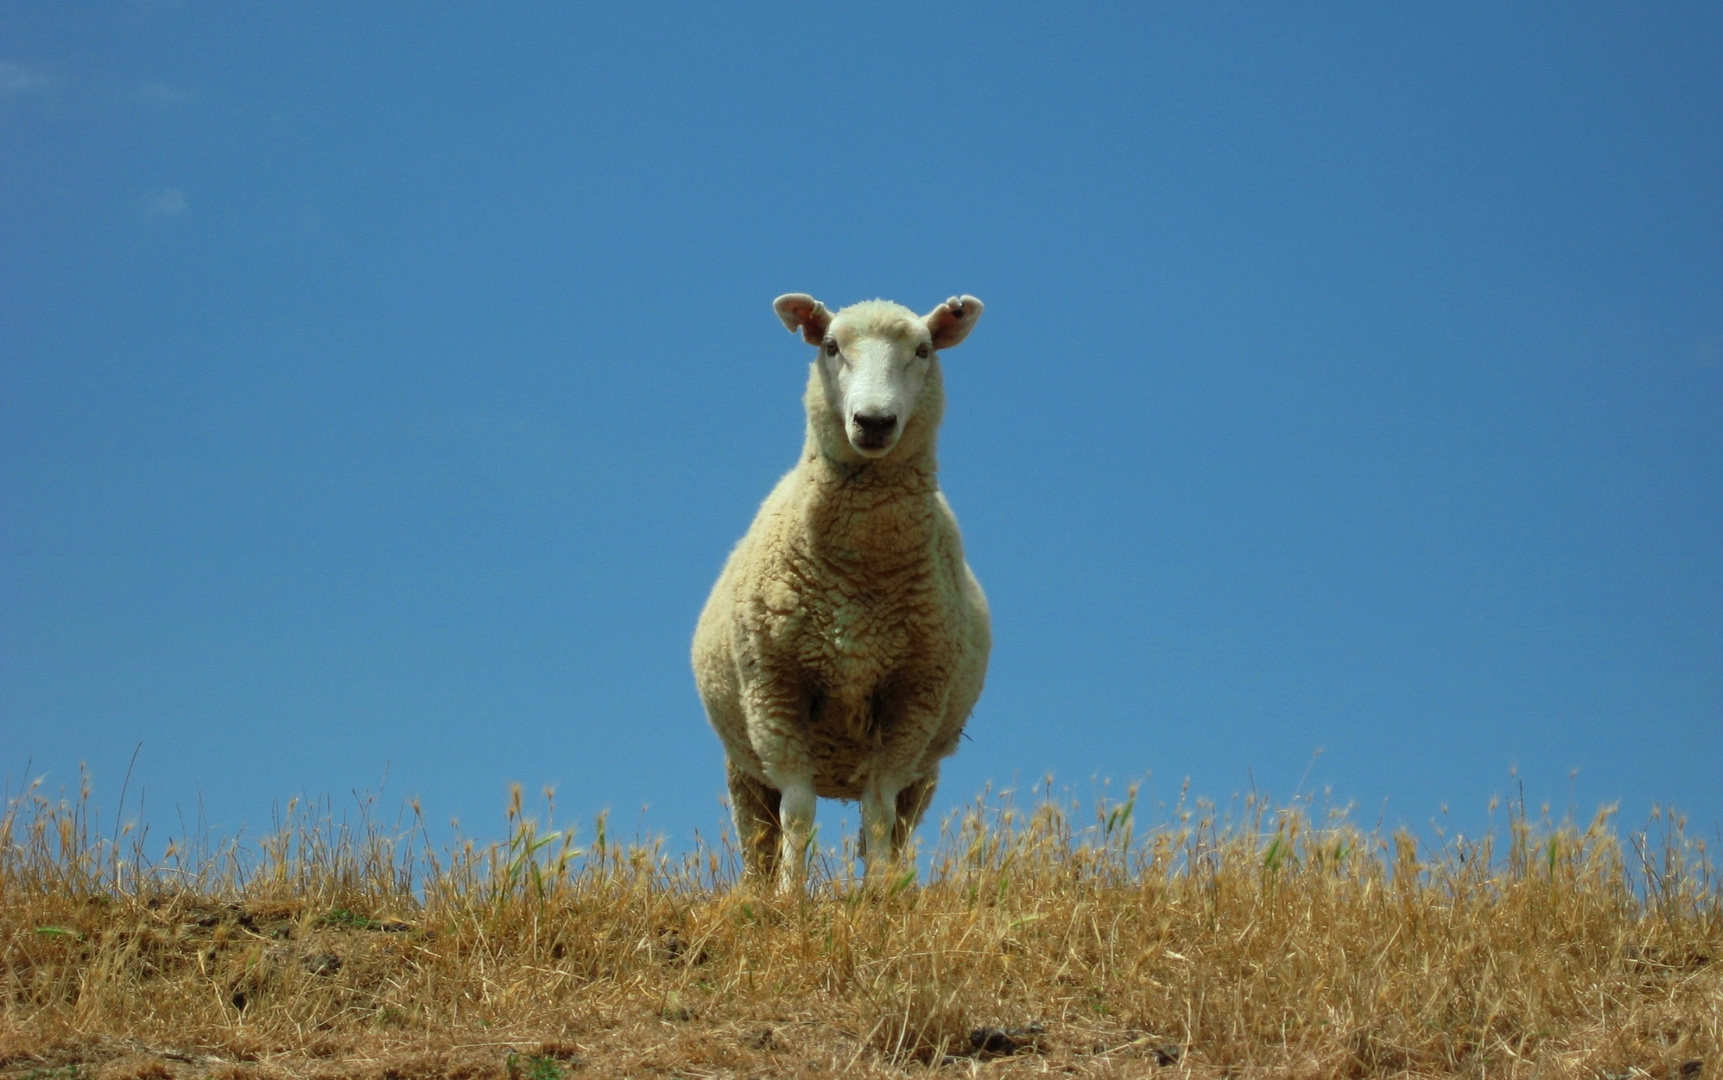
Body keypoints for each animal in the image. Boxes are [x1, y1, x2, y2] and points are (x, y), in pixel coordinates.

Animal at [685, 291, 992, 888]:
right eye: (830, 346)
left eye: (923, 350)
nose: (873, 421)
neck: (860, 577)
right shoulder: (775, 692)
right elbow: (797, 813)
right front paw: (790, 896)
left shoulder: (911, 701)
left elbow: (878, 812)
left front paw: (878, 894)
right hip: (744, 760)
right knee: (759, 836)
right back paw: (757, 889)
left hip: (926, 766)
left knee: (896, 825)